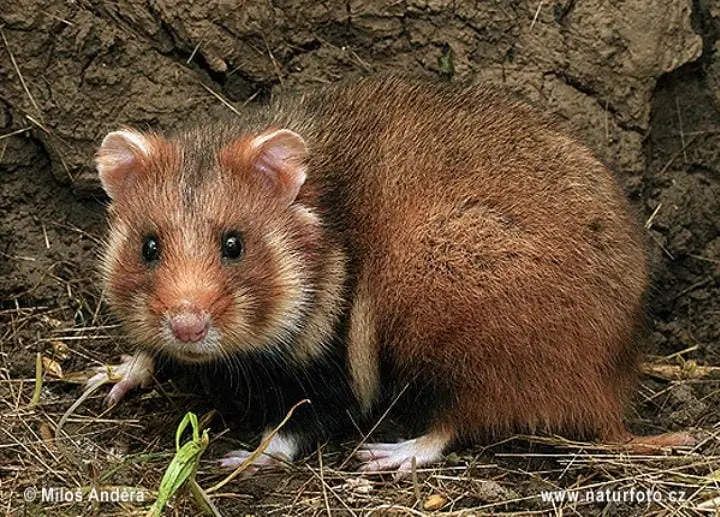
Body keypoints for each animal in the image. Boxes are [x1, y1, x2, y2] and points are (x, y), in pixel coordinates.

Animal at [90, 76, 694, 476]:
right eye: (148, 246)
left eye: (234, 244)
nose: (187, 327)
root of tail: (612, 394)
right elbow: (146, 355)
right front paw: (108, 378)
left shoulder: (336, 365)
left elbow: (301, 423)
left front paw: (240, 457)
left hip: (455, 316)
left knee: (462, 419)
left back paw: (389, 455)